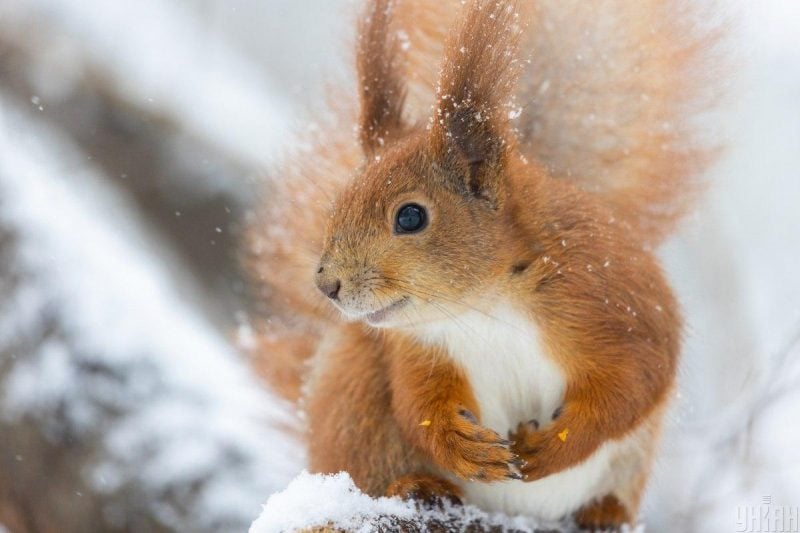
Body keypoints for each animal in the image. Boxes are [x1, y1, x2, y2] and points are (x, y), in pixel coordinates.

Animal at [245, 0, 720, 528]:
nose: (327, 284)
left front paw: (551, 447)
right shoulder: (415, 349)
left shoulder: (614, 300)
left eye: (410, 216)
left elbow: (632, 385)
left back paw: (605, 511)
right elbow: (418, 402)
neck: (485, 305)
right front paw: (460, 446)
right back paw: (417, 484)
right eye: (338, 201)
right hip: (354, 400)